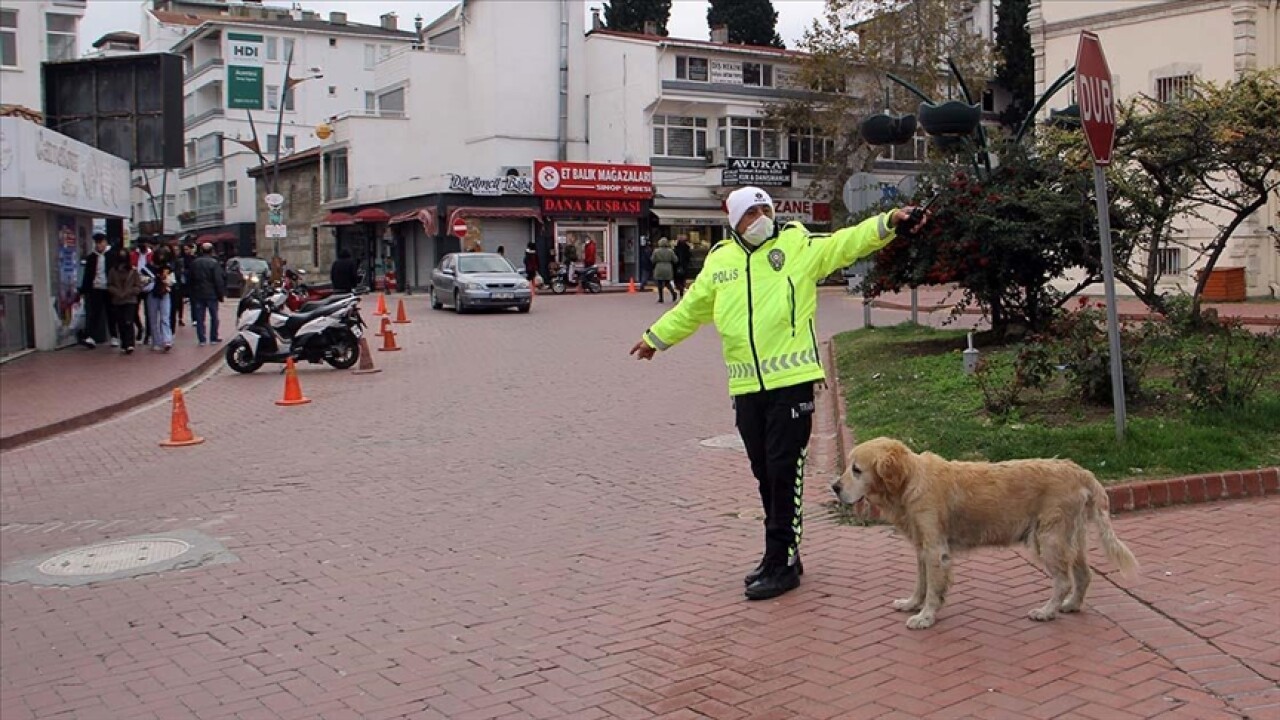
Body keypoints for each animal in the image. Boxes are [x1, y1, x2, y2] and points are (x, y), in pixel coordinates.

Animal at [829, 435, 1141, 625]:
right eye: (849, 467)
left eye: (856, 470)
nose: (834, 487)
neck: (910, 482)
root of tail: (1080, 471)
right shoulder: (922, 548)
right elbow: (921, 583)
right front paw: (912, 604)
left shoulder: (935, 549)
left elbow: (933, 588)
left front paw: (926, 617)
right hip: (1070, 538)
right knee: (1084, 574)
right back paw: (1071, 605)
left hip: (1047, 539)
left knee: (1063, 580)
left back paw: (1046, 611)